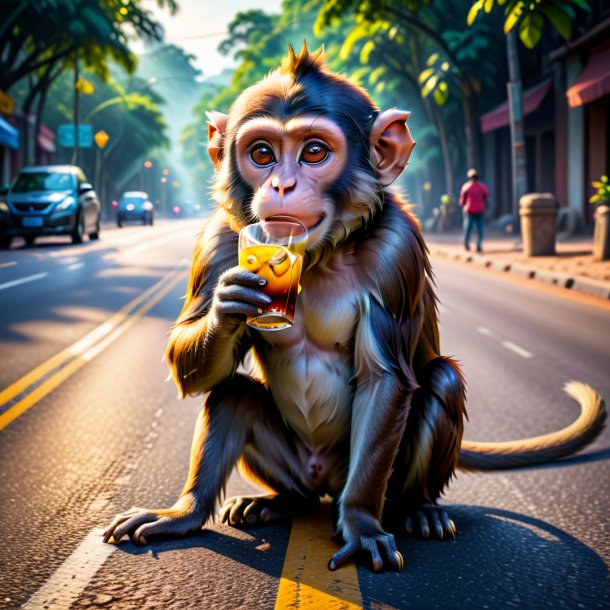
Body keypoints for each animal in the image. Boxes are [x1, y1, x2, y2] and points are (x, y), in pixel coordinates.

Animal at [104, 44, 604, 568]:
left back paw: (415, 507)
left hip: (366, 472)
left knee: (440, 380)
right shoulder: (220, 240)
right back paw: (209, 510)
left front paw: (362, 527)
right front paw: (230, 305)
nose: (281, 187)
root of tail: (323, 484)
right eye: (262, 153)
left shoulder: (397, 252)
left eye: (314, 152)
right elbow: (194, 367)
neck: (318, 254)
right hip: (296, 467)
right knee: (233, 393)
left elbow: (385, 378)